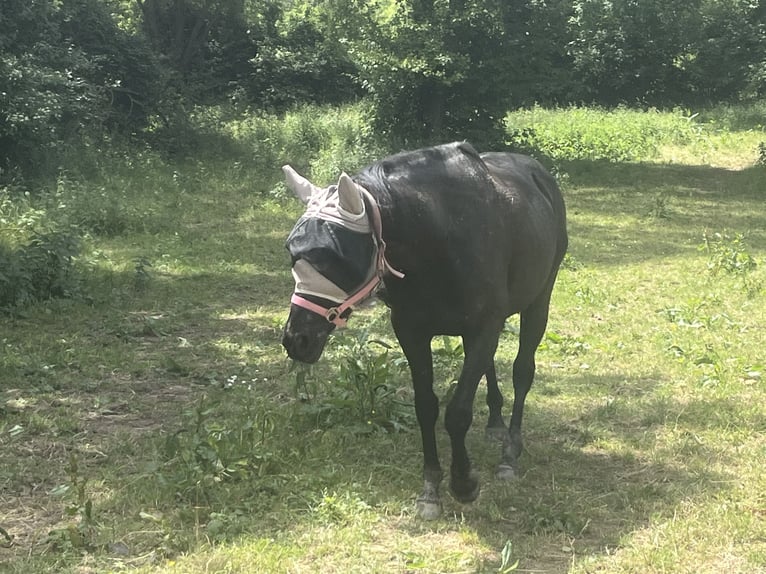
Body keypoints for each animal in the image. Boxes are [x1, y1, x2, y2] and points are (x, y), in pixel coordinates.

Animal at [281, 141, 567, 519]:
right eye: (291, 251)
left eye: (335, 256)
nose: (296, 339)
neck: (438, 236)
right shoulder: (413, 332)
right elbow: (425, 406)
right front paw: (431, 487)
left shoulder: (483, 328)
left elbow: (457, 412)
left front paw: (463, 483)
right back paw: (494, 421)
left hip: (539, 302)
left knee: (522, 372)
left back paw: (509, 451)